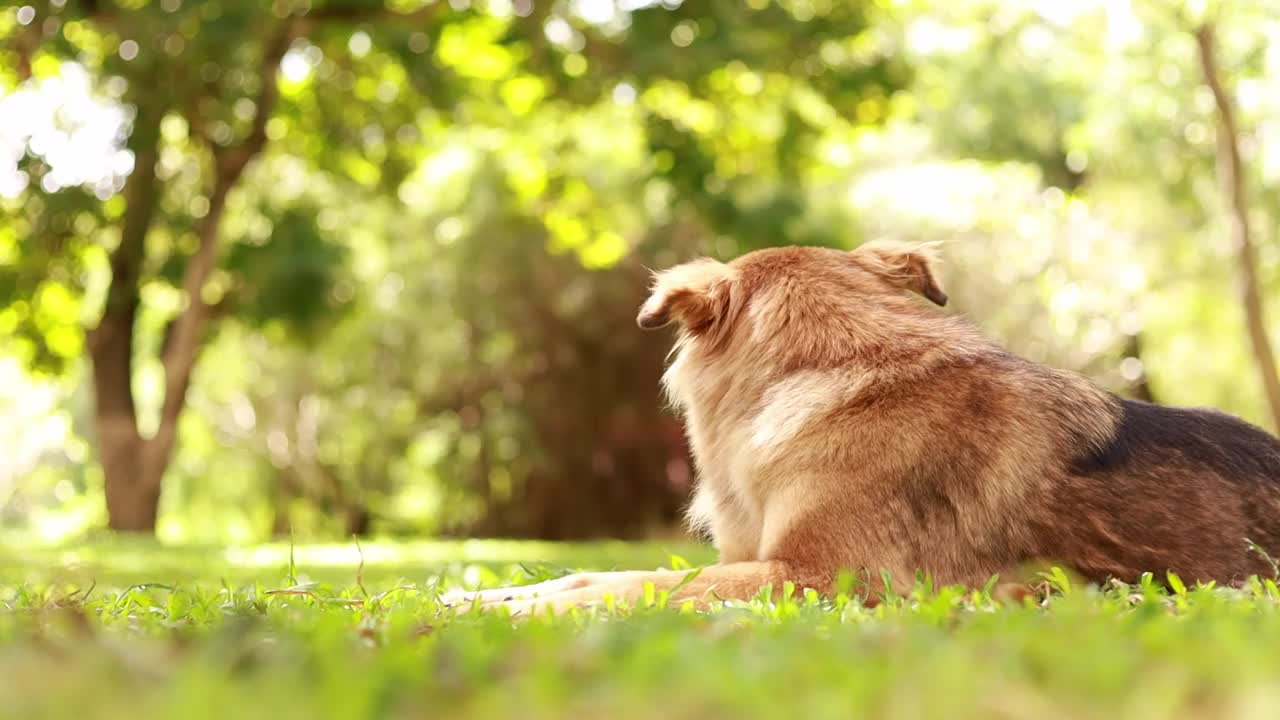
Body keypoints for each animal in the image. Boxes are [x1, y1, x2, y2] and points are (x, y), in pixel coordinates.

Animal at [442, 240, 1280, 609]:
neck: (836, 373)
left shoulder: (824, 575)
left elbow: (641, 586)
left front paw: (519, 607)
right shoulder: (760, 559)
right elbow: (608, 574)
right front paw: (478, 598)